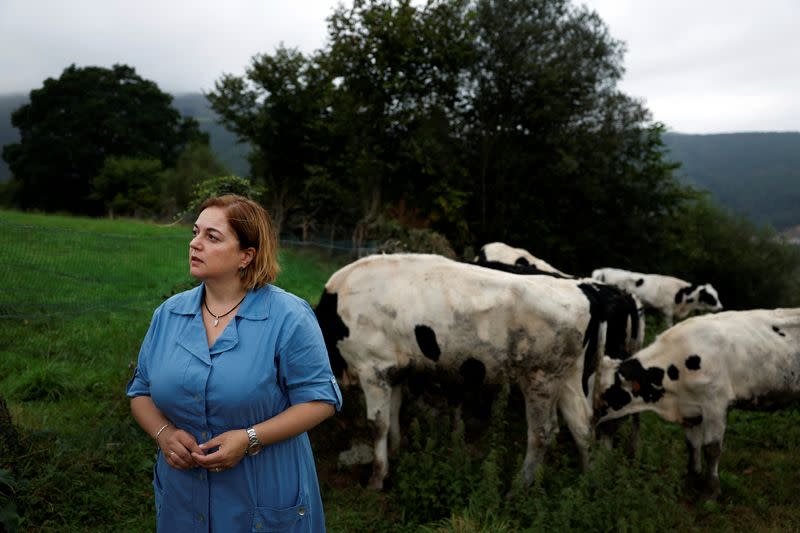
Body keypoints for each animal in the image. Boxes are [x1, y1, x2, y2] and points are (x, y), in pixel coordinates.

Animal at [312, 254, 608, 490]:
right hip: (568, 375)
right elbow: (394, 413)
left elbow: (377, 424)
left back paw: (518, 488)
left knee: (542, 433)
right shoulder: (393, 370)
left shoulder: (372, 367)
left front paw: (376, 479)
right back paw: (588, 482)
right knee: (582, 425)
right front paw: (395, 451)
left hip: (540, 378)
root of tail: (582, 288)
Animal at [592, 266, 720, 324]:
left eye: (717, 296)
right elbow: (669, 325)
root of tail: (603, 271)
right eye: (711, 297)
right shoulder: (667, 310)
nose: (720, 307)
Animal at [592, 308, 800, 498]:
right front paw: (691, 481)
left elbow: (711, 449)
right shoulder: (690, 411)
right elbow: (692, 446)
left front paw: (711, 491)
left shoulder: (716, 405)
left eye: (609, 394)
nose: (595, 426)